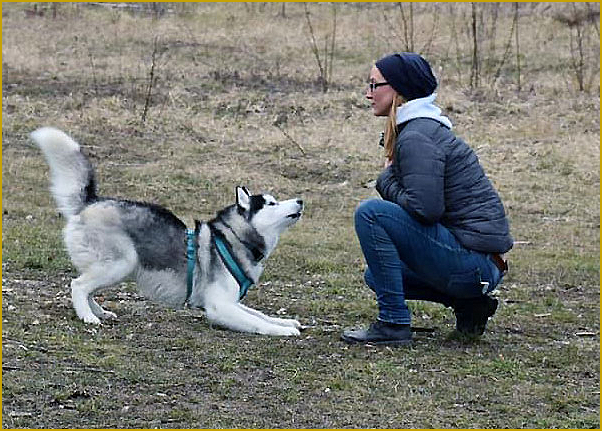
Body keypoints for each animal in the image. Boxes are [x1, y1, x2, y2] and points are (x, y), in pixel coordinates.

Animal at [30, 126, 302, 336]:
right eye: (271, 203)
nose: (300, 200)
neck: (232, 238)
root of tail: (91, 202)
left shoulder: (231, 302)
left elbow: (259, 314)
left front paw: (285, 321)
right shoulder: (220, 306)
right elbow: (256, 322)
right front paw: (282, 330)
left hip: (114, 266)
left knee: (87, 287)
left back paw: (99, 311)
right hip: (122, 263)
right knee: (78, 285)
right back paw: (88, 317)